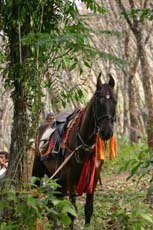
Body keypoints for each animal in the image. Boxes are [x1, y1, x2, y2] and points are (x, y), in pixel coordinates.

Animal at [32, 72, 116, 228]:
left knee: (53, 201)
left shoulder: (94, 175)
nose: (107, 132)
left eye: (115, 101)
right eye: (98, 102)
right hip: (39, 169)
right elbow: (71, 210)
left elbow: (88, 209)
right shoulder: (71, 176)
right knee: (35, 192)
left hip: (58, 178)